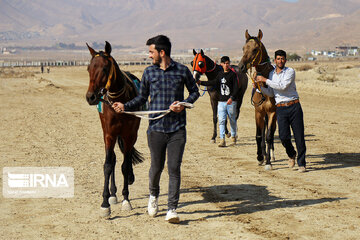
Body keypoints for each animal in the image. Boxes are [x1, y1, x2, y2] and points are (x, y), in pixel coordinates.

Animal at [86, 41, 143, 218]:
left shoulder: (129, 134)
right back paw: (113, 193)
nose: (90, 97)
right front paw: (105, 203)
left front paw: (126, 199)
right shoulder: (109, 134)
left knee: (126, 156)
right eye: (88, 68)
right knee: (114, 158)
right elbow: (108, 165)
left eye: (105, 69)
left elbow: (125, 165)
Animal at [240, 29, 278, 171]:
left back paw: (271, 155)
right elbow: (258, 136)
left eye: (255, 49)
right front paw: (260, 157)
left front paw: (268, 162)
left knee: (270, 134)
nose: (241, 67)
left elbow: (269, 136)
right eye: (243, 48)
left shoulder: (272, 113)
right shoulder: (258, 112)